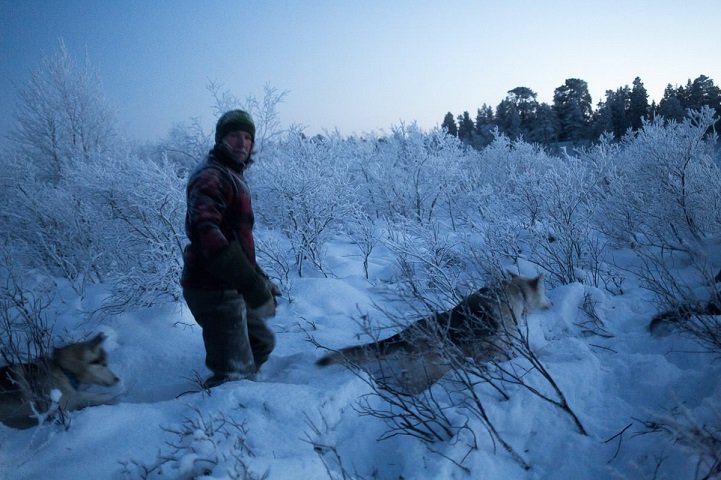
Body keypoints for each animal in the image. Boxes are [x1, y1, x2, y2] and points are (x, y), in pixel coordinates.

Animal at [316, 274, 552, 394]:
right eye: (545, 293)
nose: (552, 303)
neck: (515, 289)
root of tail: (405, 335)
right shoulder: (499, 345)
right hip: (436, 368)